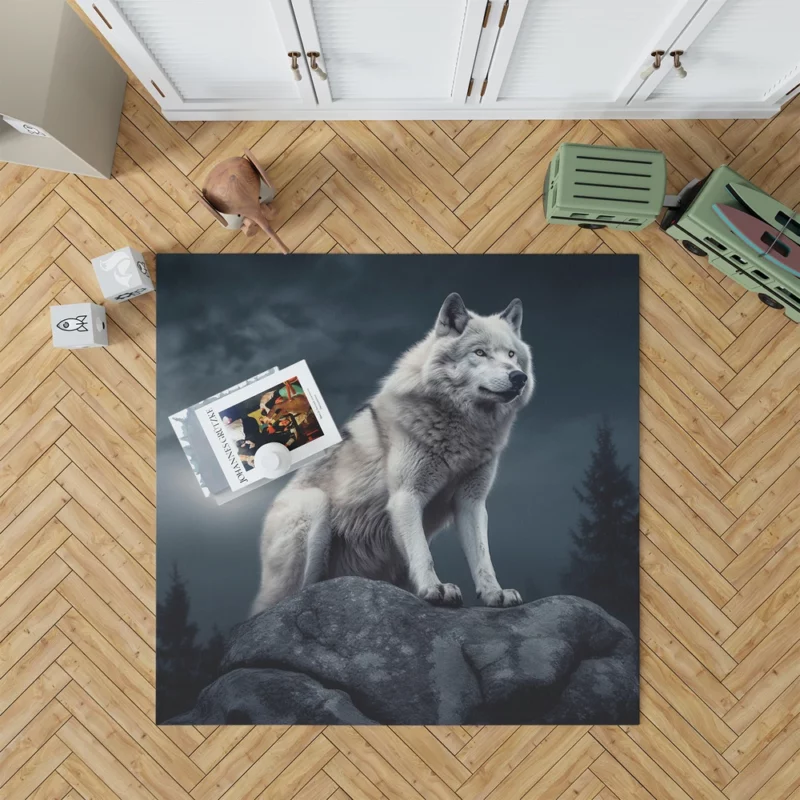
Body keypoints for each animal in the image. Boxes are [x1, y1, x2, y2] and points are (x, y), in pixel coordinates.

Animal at [250, 290, 536, 616]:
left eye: (511, 355)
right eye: (479, 353)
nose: (519, 377)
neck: (463, 432)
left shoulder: (471, 503)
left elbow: (483, 557)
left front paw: (494, 594)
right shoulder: (406, 496)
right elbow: (423, 553)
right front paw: (435, 589)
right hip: (314, 508)